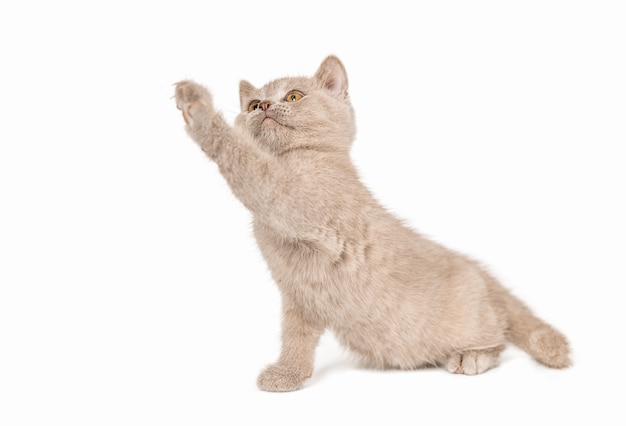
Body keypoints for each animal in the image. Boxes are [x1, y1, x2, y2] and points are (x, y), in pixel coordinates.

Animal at [173, 55, 568, 392]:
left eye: (294, 96)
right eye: (254, 105)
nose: (266, 107)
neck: (295, 159)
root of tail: (479, 270)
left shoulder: (284, 196)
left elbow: (243, 158)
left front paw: (197, 107)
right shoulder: (300, 295)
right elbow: (295, 338)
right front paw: (289, 374)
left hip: (473, 320)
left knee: (497, 337)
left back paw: (471, 356)